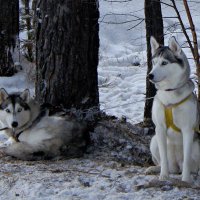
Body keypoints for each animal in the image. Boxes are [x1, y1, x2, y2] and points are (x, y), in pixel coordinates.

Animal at [146, 36, 200, 183]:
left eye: (164, 63)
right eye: (154, 62)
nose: (150, 76)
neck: (169, 95)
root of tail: (176, 166)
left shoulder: (187, 129)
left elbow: (187, 160)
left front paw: (186, 179)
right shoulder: (159, 128)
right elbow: (163, 158)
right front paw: (163, 175)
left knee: (192, 166)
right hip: (153, 141)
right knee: (163, 162)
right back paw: (155, 169)